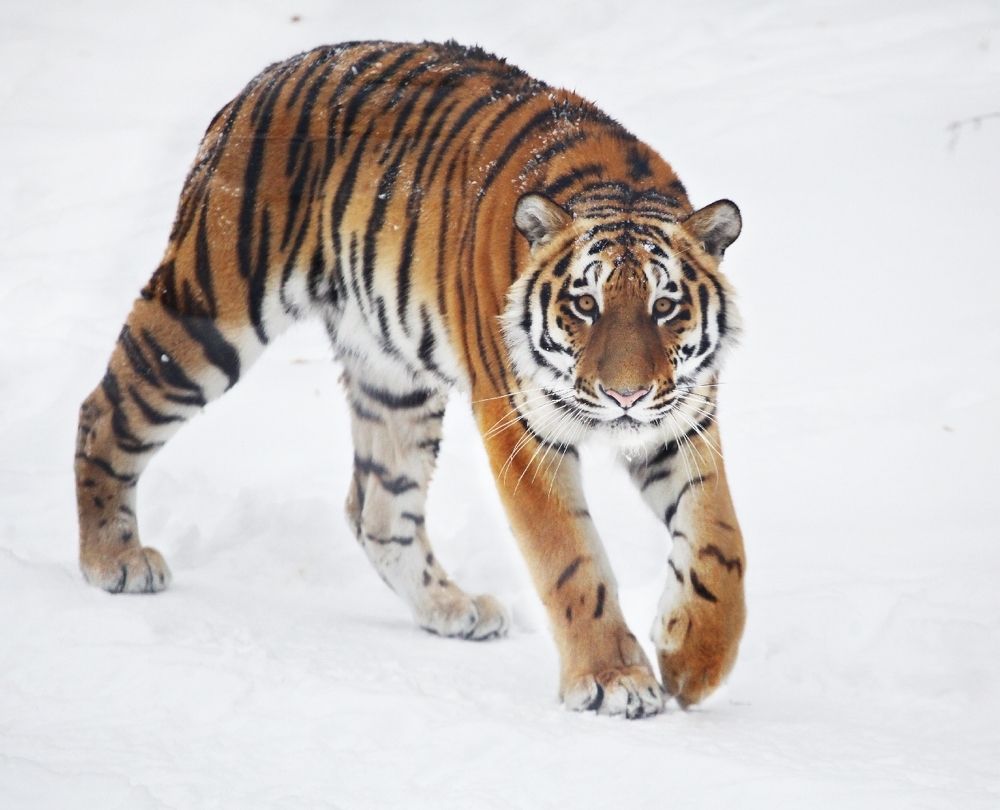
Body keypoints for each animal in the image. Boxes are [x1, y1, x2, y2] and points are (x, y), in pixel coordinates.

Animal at [74, 40, 746, 718]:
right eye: (585, 305)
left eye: (665, 307)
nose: (625, 396)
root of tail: (263, 79)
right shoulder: (522, 430)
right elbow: (570, 557)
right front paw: (615, 678)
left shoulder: (683, 420)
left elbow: (719, 539)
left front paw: (692, 662)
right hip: (209, 313)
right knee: (105, 411)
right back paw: (115, 560)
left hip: (392, 378)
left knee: (376, 508)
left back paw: (454, 609)